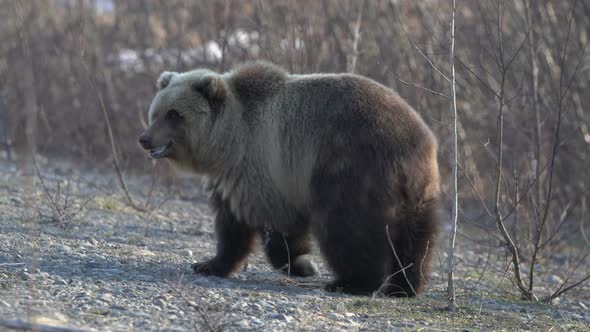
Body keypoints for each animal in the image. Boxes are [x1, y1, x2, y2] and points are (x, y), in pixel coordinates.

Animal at [140, 61, 440, 296]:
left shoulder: (265, 166)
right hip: (419, 190)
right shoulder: (232, 180)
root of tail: (413, 142)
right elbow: (232, 226)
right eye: (155, 112)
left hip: (347, 166)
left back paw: (351, 282)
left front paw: (302, 265)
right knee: (416, 237)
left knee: (346, 227)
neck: (226, 143)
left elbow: (279, 225)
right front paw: (209, 264)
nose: (145, 139)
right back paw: (404, 286)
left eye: (174, 114)